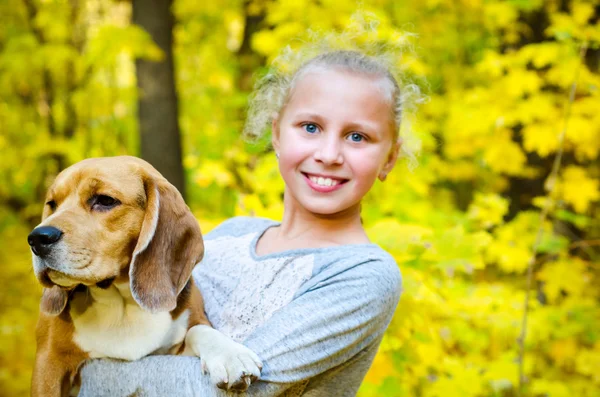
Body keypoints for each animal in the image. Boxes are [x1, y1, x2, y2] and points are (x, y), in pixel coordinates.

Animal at [28, 156, 262, 394]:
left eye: (105, 200)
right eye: (52, 204)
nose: (37, 238)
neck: (121, 302)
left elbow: (199, 330)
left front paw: (230, 355)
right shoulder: (48, 364)